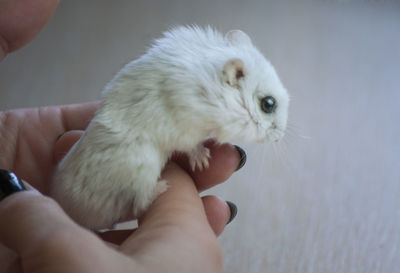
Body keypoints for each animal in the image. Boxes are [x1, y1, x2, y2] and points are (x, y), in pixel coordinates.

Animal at [50, 26, 290, 230]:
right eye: (268, 104)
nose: (279, 138)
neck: (212, 91)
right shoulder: (185, 129)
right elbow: (190, 146)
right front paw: (203, 161)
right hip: (143, 164)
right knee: (140, 201)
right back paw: (164, 187)